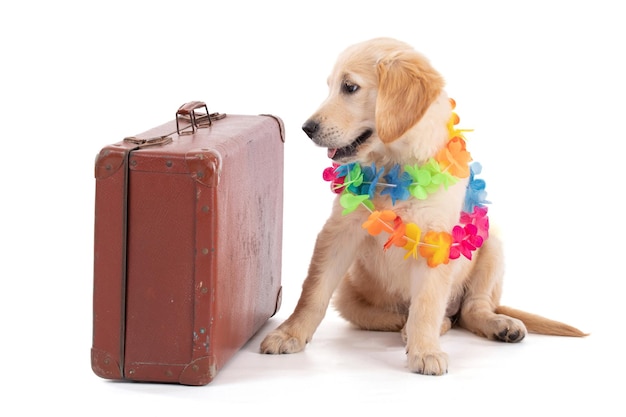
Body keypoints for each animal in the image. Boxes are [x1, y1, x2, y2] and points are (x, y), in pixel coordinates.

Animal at [258, 36, 584, 374]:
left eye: (349, 87)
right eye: (331, 86)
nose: (306, 128)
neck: (395, 165)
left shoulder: (436, 238)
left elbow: (426, 303)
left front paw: (425, 351)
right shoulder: (339, 231)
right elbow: (314, 290)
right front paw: (290, 333)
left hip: (491, 245)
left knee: (472, 309)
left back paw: (496, 324)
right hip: (350, 294)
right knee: (397, 315)